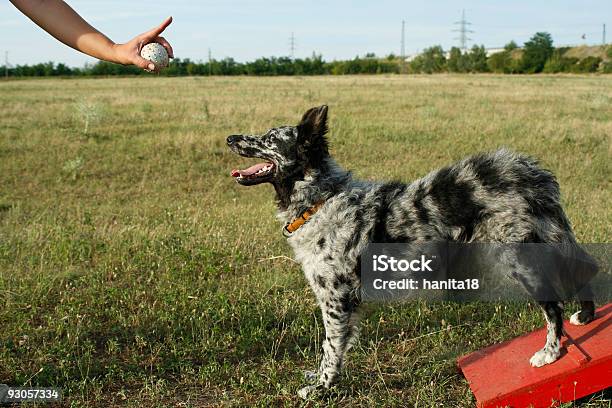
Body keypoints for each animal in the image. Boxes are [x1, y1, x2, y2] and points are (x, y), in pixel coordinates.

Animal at [226, 105, 592, 398]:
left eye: (269, 138)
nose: (230, 138)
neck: (321, 198)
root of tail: (530, 172)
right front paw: (319, 380)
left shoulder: (335, 298)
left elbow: (331, 348)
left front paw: (321, 388)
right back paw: (585, 316)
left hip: (519, 257)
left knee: (554, 305)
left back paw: (551, 352)